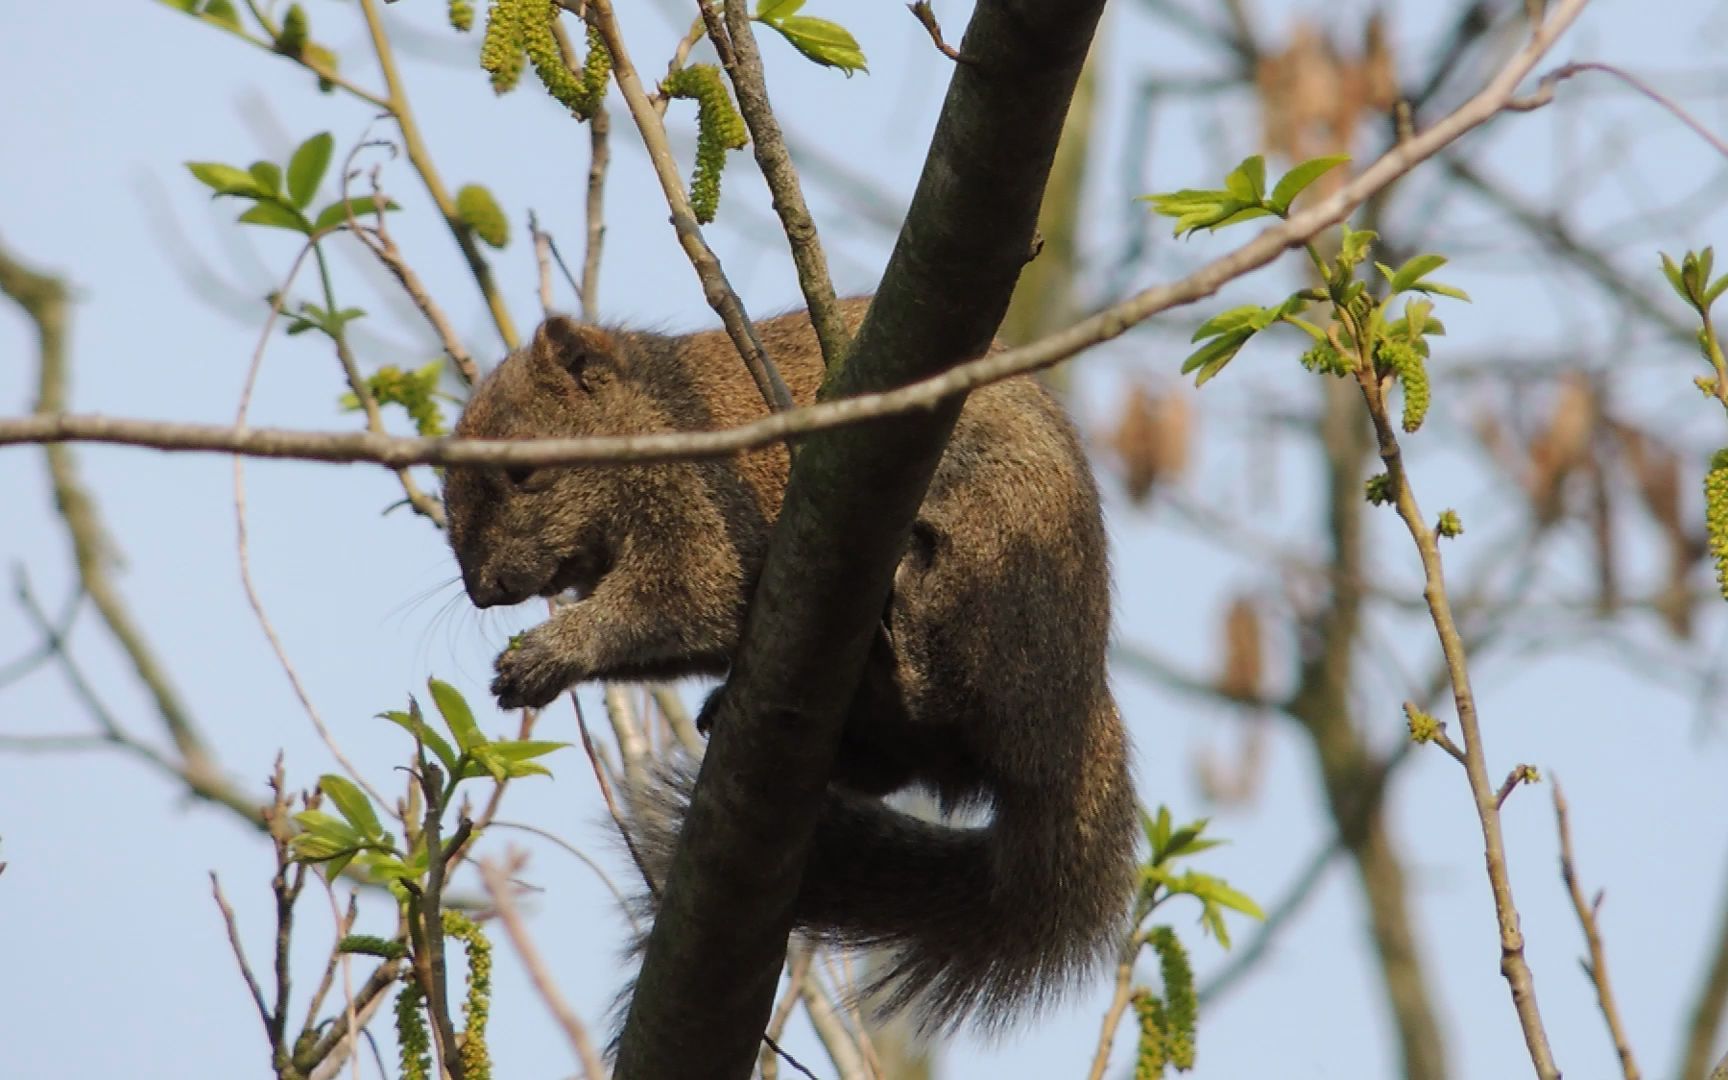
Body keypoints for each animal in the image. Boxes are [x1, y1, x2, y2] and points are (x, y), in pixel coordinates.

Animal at [445, 297, 1140, 1036]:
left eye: (525, 470)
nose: (483, 589)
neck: (652, 420)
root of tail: (1075, 721)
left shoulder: (709, 510)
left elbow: (689, 594)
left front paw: (547, 652)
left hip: (993, 560)